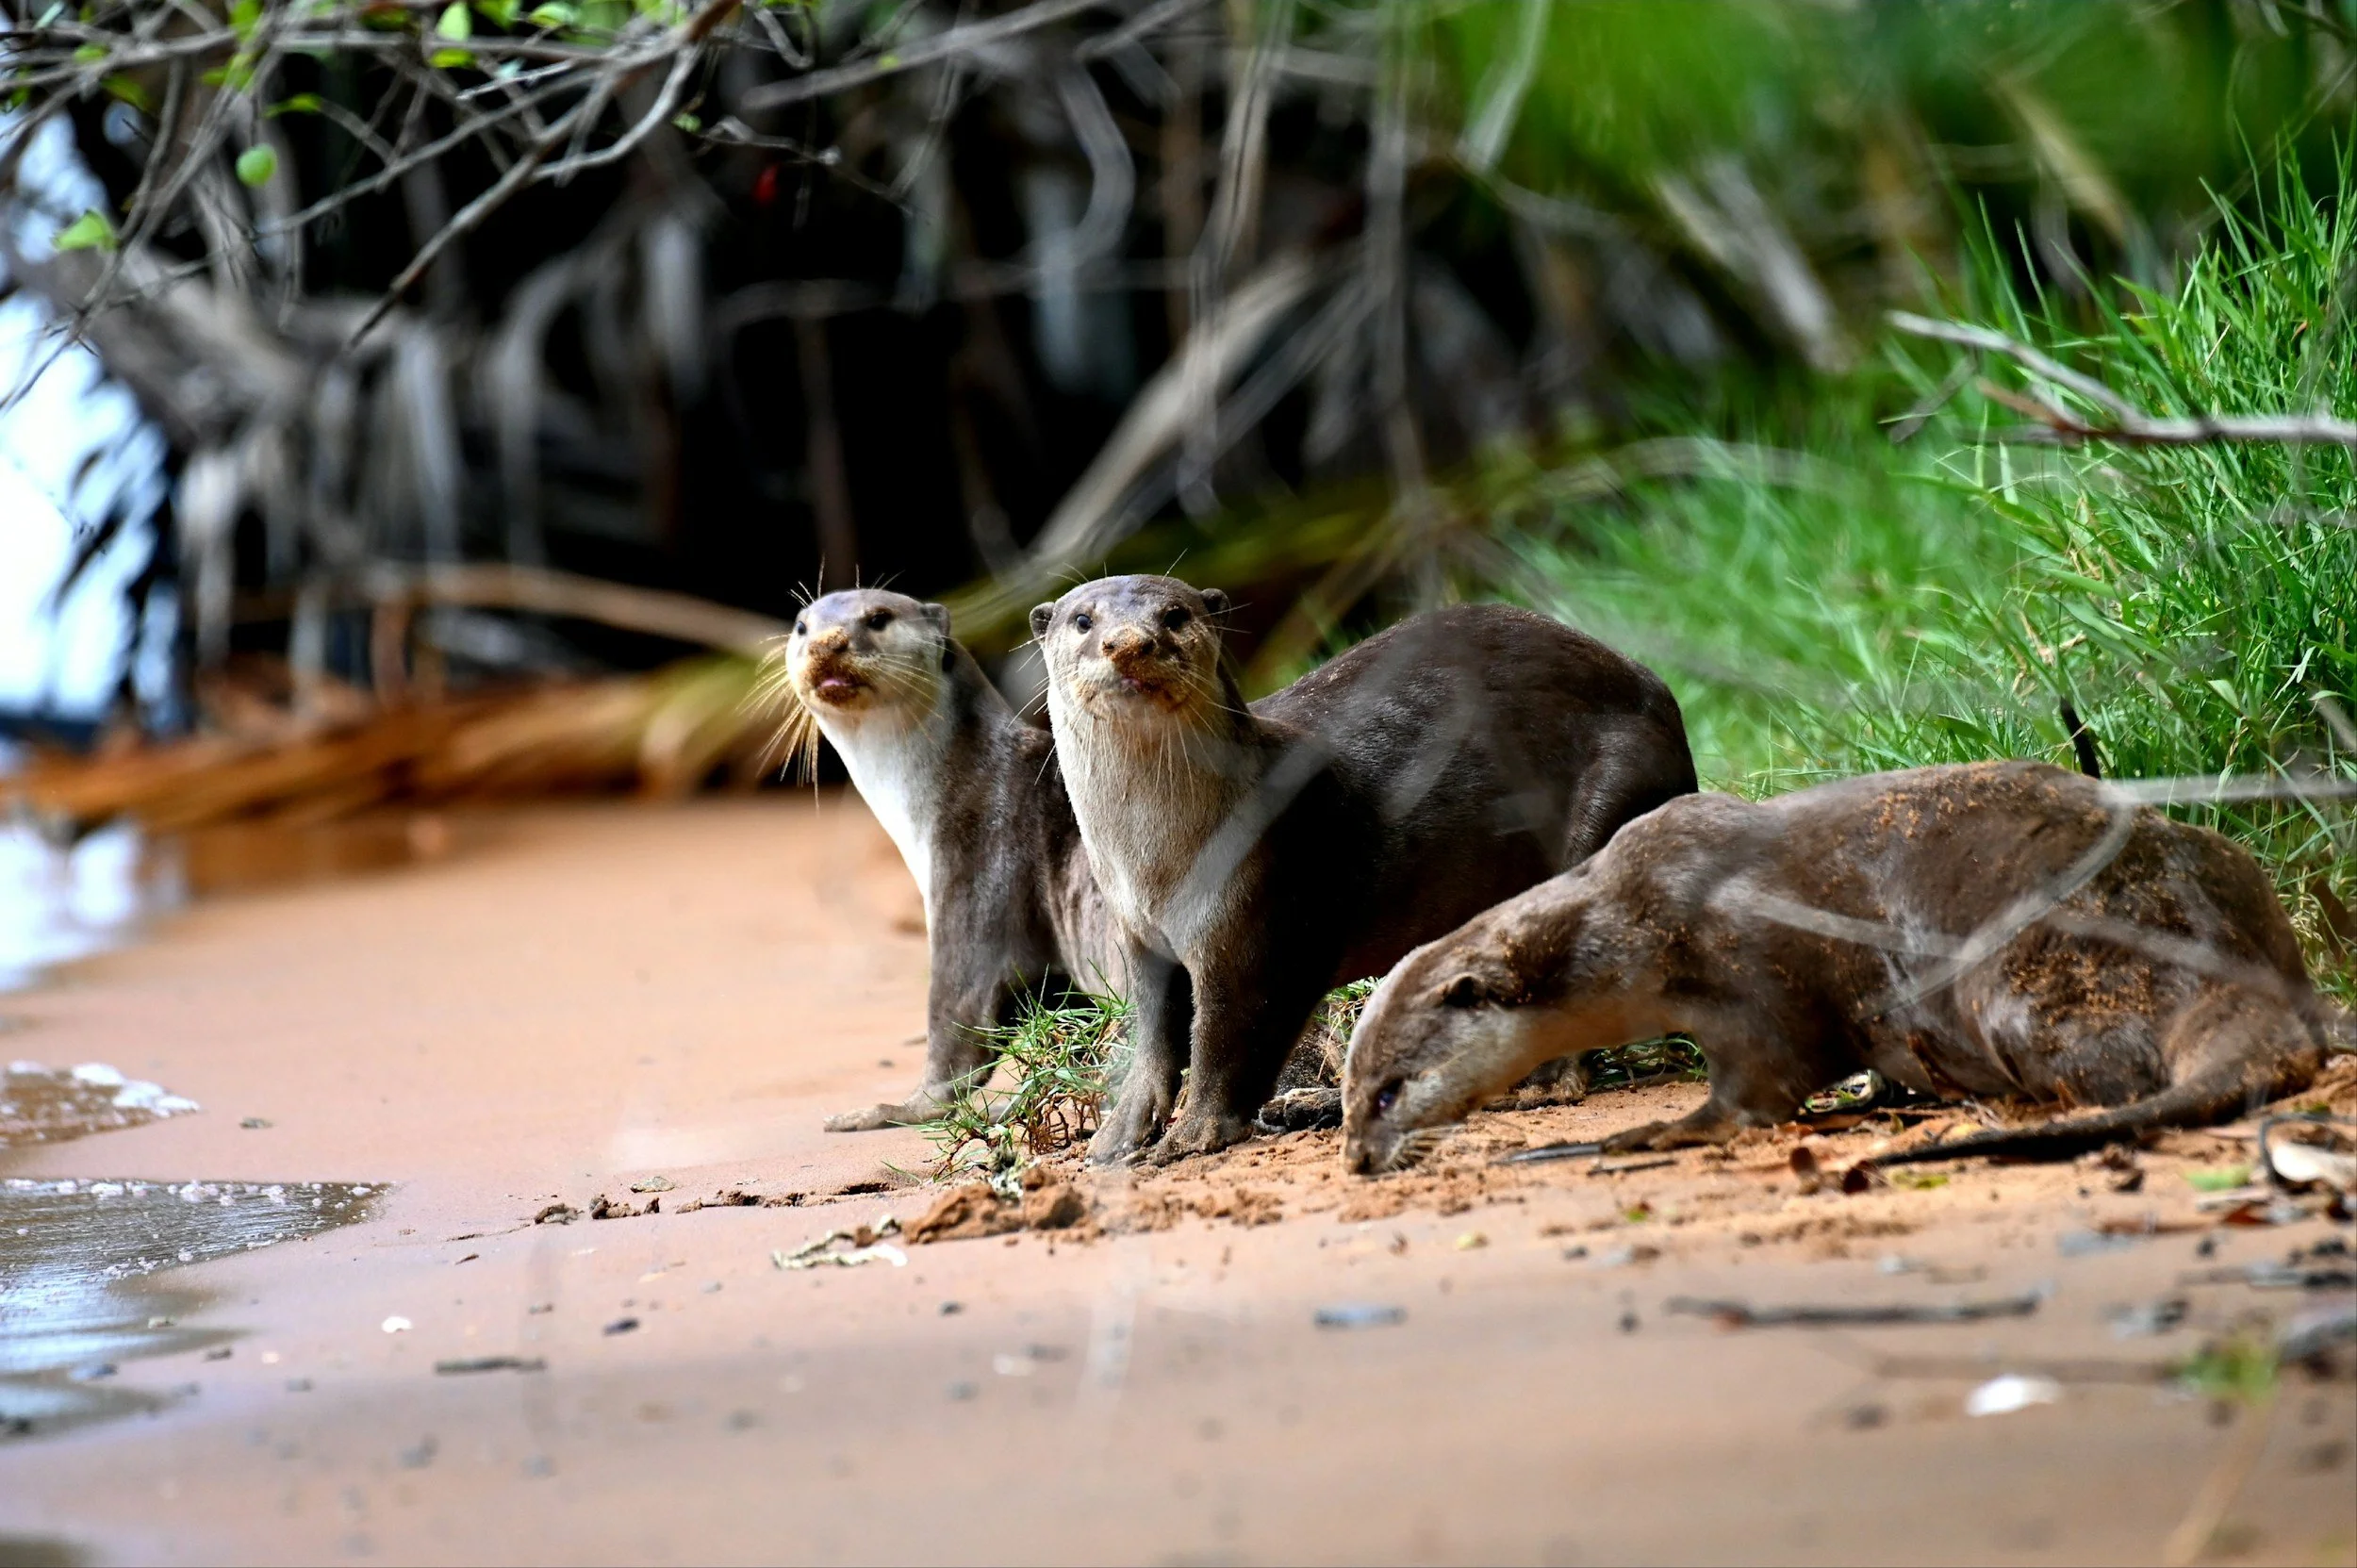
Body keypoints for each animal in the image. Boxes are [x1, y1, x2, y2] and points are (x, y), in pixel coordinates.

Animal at [769, 589, 1121, 1131]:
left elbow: (957, 1019)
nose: (829, 642)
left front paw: (889, 1110)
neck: (967, 777)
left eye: (878, 618)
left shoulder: (976, 861)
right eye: (802, 626)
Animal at [1030, 576, 1698, 1163]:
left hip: (1613, 796)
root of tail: (1660, 693)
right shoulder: (1138, 936)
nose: (1129, 643)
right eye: (1083, 620)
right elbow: (1153, 1043)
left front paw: (1192, 1136)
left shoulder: (1259, 927)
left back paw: (1539, 1084)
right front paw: (1117, 1137)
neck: (1158, 870)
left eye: (1174, 616)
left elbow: (1229, 1041)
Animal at [1342, 761, 2332, 1175]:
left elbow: (1761, 1086)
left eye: (1391, 1090)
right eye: (1351, 1093)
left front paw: (1647, 1133)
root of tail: (2234, 966)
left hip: (2018, 977)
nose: (1354, 1155)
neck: (1632, 920)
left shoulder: (1749, 978)